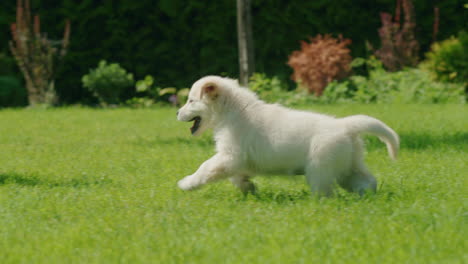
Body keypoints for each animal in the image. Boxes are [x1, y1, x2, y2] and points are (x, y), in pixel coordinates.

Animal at [176, 75, 398, 195]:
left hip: (320, 168)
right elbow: (235, 177)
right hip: (348, 166)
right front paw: (248, 187)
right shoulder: (237, 160)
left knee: (326, 192)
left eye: (191, 101)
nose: (177, 112)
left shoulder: (230, 156)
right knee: (366, 181)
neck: (234, 111)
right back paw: (366, 196)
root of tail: (345, 125)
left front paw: (187, 183)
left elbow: (205, 167)